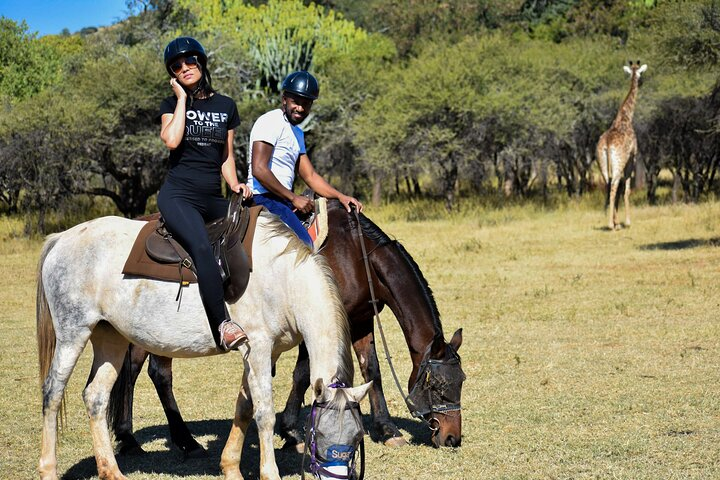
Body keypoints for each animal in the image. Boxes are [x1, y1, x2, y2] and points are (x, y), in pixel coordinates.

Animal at [35, 214, 372, 480]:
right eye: (319, 434)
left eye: (357, 438)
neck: (283, 278)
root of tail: (61, 238)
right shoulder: (259, 348)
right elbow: (264, 413)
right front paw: (268, 473)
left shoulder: (263, 353)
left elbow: (244, 407)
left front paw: (231, 467)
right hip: (73, 333)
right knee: (53, 392)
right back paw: (49, 469)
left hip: (111, 338)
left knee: (95, 396)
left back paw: (111, 471)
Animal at [109, 200, 464, 458]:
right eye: (438, 387)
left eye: (461, 381)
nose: (451, 438)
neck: (357, 255)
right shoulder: (316, 322)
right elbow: (304, 374)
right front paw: (292, 430)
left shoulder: (361, 320)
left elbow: (371, 369)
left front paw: (387, 429)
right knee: (156, 373)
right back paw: (173, 441)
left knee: (138, 370)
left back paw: (135, 438)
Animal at [596, 61, 648, 230]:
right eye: (641, 73)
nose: (641, 82)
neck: (626, 116)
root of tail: (607, 144)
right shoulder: (632, 157)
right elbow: (626, 190)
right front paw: (627, 221)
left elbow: (621, 190)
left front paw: (619, 221)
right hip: (619, 163)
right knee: (614, 186)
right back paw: (611, 225)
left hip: (603, 164)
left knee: (608, 185)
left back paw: (614, 223)